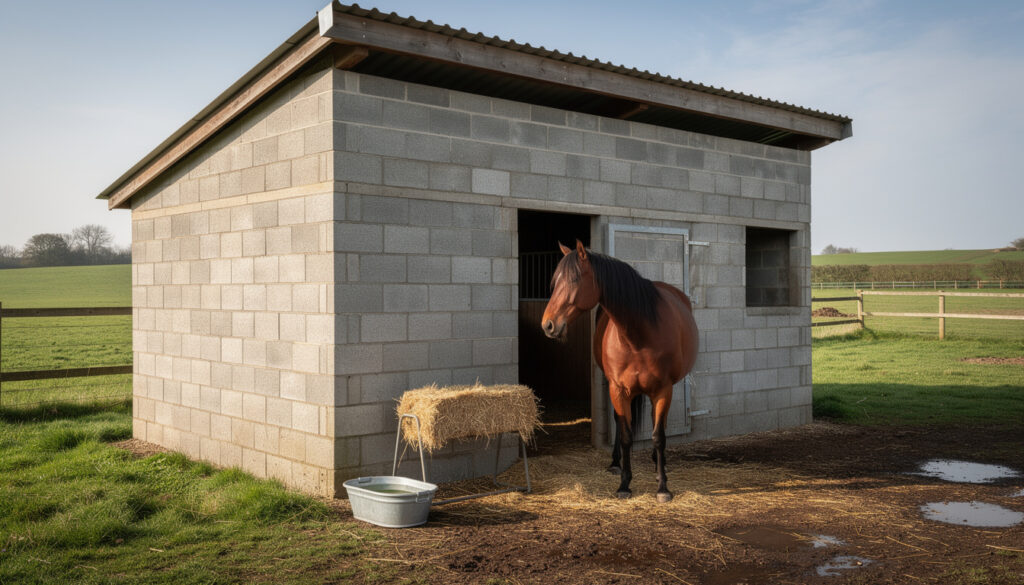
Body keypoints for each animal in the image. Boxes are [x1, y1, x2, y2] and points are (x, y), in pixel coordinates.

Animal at [541, 240, 698, 502]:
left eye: (573, 280)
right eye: (555, 282)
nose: (548, 325)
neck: (639, 336)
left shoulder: (663, 390)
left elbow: (658, 436)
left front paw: (662, 486)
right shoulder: (619, 389)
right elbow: (625, 435)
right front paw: (624, 484)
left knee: (660, 425)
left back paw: (659, 463)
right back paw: (616, 463)